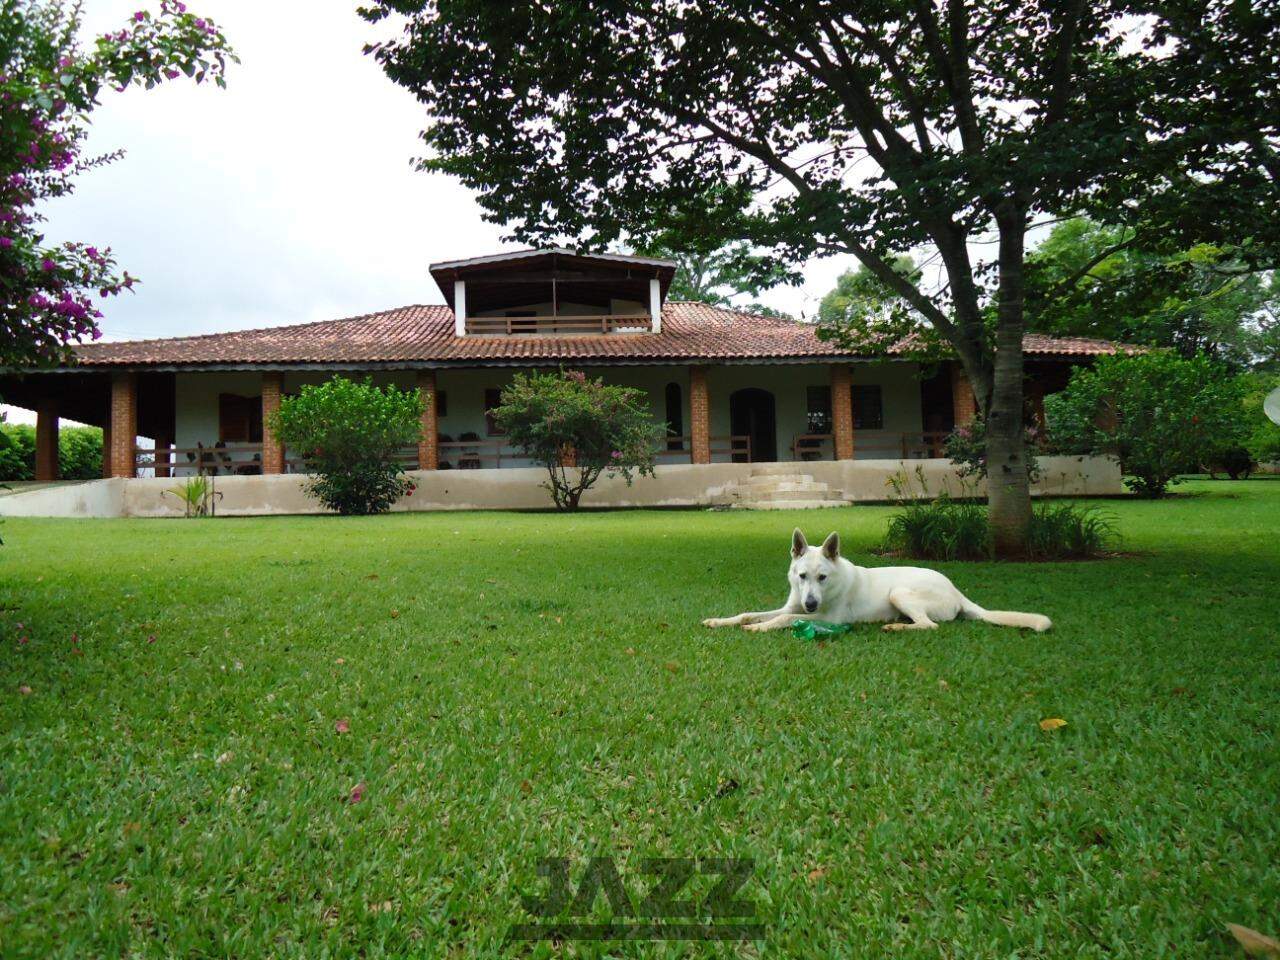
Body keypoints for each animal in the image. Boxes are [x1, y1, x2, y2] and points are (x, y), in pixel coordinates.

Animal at [706, 529, 1054, 634]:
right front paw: (719, 621)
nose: (811, 604)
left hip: (899, 593)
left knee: (930, 626)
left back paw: (897, 626)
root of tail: (957, 590)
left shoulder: (829, 619)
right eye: (802, 576)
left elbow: (783, 620)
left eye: (823, 577)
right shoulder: (791, 606)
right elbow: (750, 613)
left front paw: (760, 629)